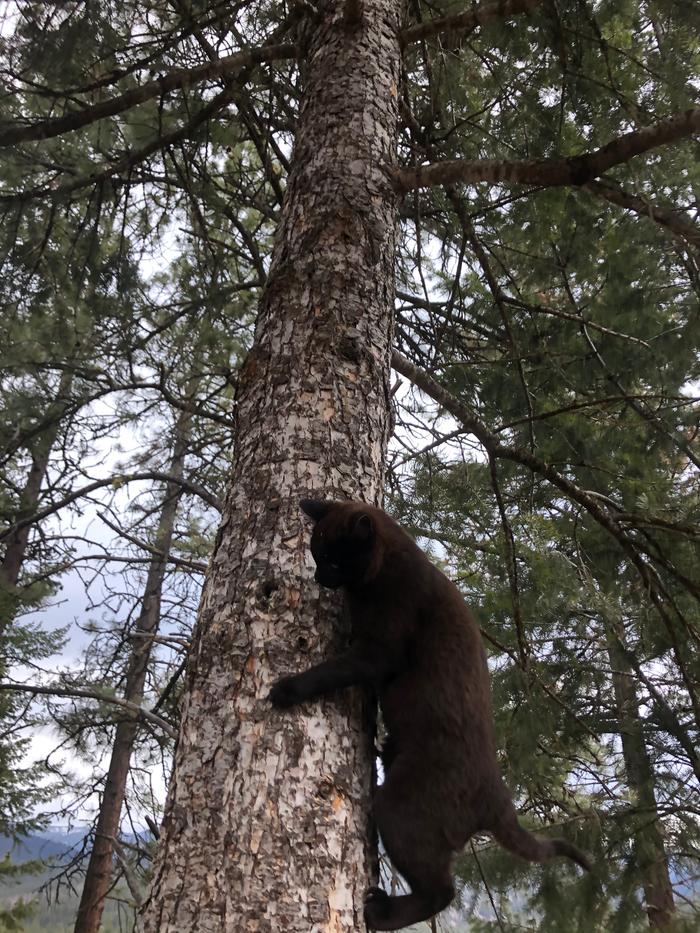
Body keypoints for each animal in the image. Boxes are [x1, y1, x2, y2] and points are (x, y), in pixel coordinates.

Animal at [270, 498, 592, 928]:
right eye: (316, 555)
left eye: (334, 561)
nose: (321, 577)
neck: (387, 568)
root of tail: (497, 796)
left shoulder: (378, 649)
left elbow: (331, 670)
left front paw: (286, 690)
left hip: (400, 809)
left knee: (441, 891)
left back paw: (380, 913)